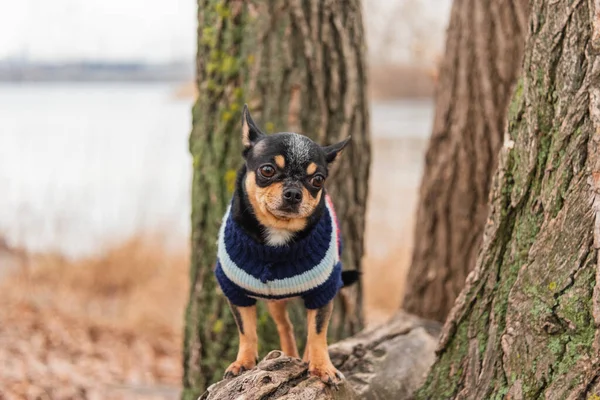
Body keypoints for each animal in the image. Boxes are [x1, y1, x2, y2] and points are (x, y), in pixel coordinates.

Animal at [216, 104, 356, 384]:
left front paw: (322, 366)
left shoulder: (323, 293)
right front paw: (243, 362)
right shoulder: (236, 292)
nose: (293, 192)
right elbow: (246, 330)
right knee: (285, 326)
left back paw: (307, 358)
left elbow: (318, 333)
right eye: (267, 170)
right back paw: (288, 354)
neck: (278, 235)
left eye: (318, 180)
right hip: (275, 304)